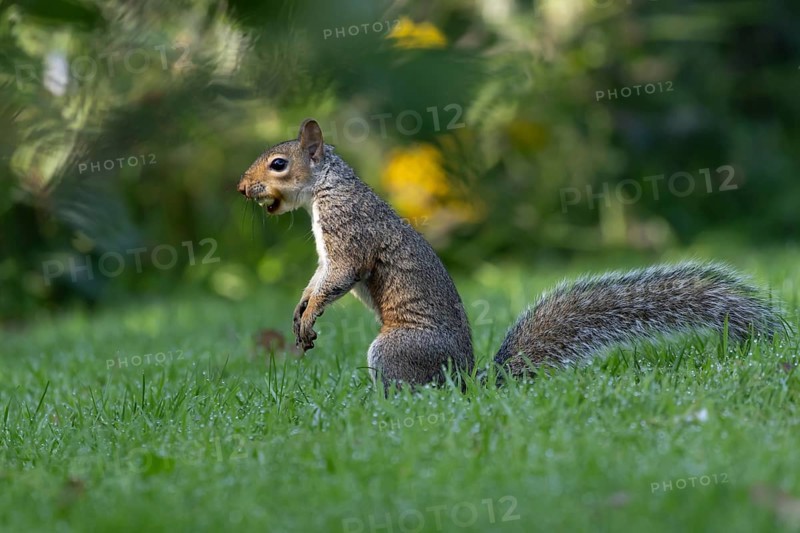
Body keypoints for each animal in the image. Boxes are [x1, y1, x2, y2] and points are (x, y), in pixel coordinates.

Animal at [237, 118, 781, 389]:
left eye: (278, 164)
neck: (328, 188)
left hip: (396, 351)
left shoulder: (349, 234)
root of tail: (468, 381)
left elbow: (340, 276)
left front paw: (310, 318)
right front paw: (300, 311)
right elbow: (317, 279)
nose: (242, 188)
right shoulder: (327, 252)